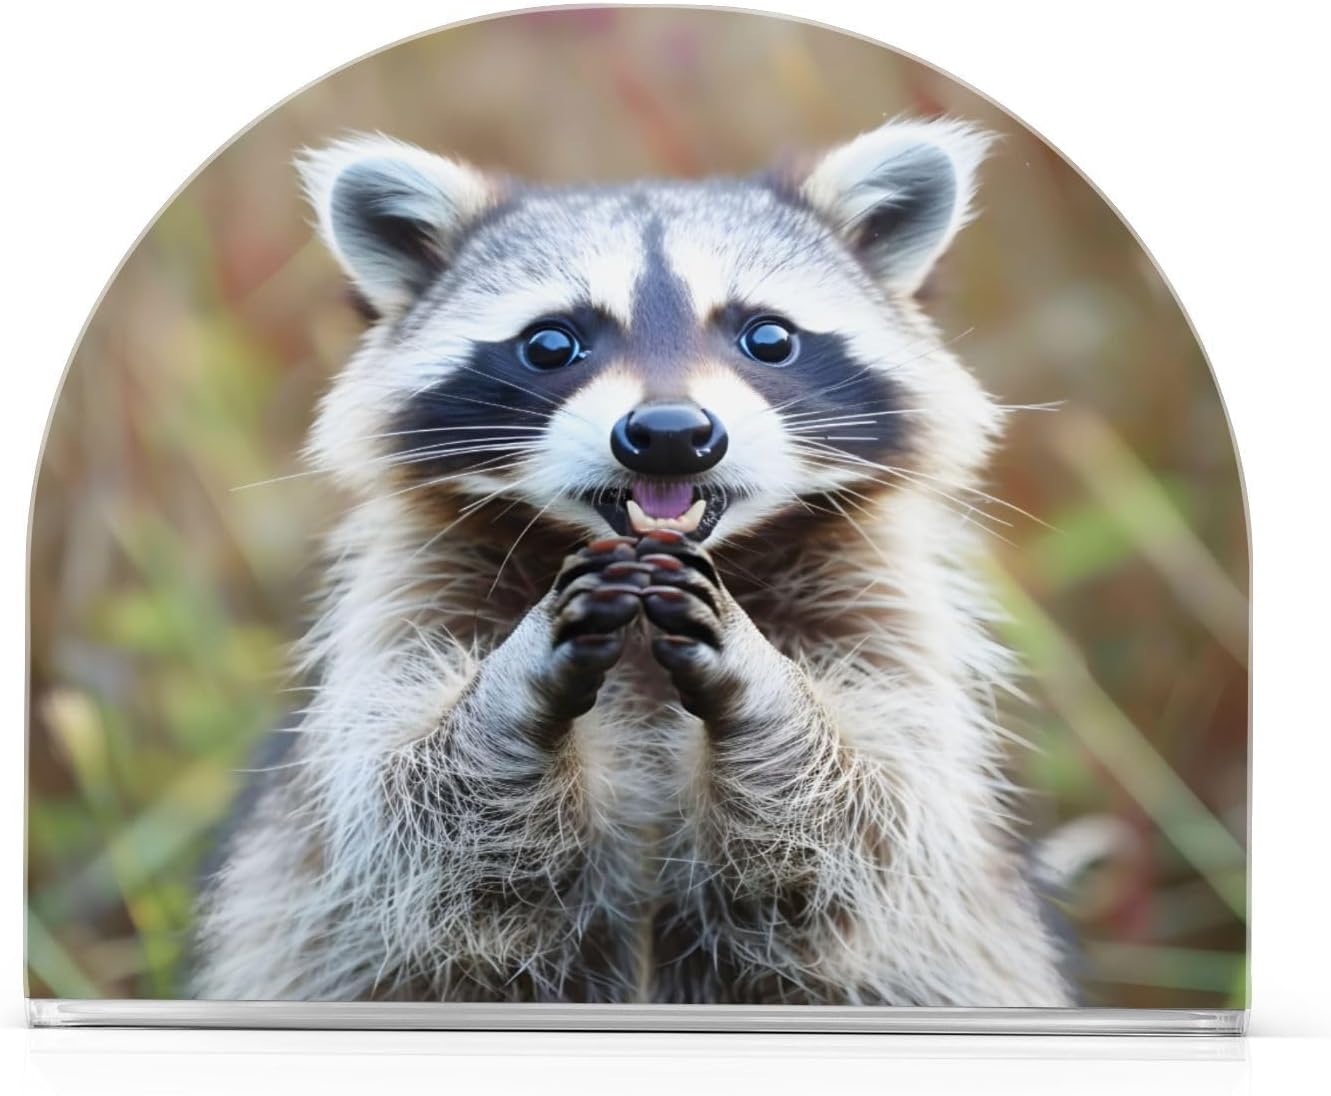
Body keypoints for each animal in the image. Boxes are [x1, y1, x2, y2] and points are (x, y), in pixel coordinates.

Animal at [192, 119, 1073, 1006]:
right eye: (551, 342)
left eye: (768, 337)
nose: (671, 433)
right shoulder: (409, 610)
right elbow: (413, 821)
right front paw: (509, 695)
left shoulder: (882, 618)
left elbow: (870, 825)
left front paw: (767, 693)